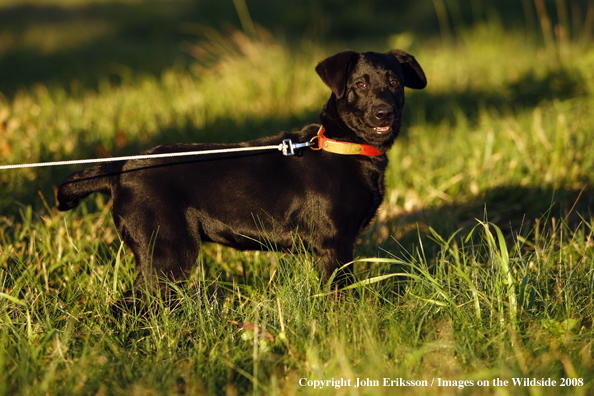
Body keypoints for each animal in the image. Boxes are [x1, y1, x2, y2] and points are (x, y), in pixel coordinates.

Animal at [56, 49, 426, 302]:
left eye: (394, 82)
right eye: (360, 84)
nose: (384, 112)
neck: (344, 145)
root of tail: (122, 168)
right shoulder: (333, 245)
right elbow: (339, 294)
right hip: (167, 252)